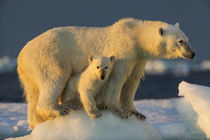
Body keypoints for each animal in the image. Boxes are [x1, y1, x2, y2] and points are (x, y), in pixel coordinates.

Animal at [17, 17, 195, 128]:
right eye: (180, 41)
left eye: (188, 39)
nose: (192, 54)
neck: (135, 36)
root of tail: (21, 55)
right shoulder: (123, 52)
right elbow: (117, 79)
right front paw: (120, 110)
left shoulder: (138, 59)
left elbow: (132, 82)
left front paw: (137, 113)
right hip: (50, 57)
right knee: (54, 79)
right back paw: (60, 109)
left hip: (29, 72)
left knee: (32, 93)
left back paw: (37, 121)